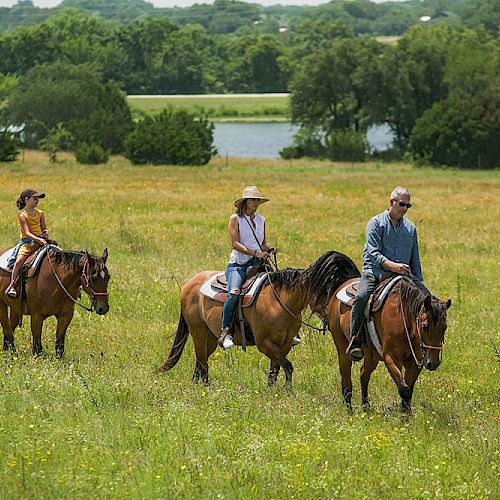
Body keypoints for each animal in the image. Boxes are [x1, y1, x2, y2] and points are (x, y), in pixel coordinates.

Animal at [160, 250, 360, 386]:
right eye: (329, 287)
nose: (338, 312)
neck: (280, 300)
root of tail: (189, 284)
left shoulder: (284, 344)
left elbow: (276, 369)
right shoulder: (265, 343)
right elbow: (287, 366)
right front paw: (288, 391)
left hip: (209, 336)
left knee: (200, 365)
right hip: (198, 332)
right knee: (201, 362)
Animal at [328, 276, 450, 412]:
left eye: (444, 328)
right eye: (424, 326)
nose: (433, 363)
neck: (403, 317)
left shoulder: (415, 362)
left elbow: (409, 390)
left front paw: (407, 416)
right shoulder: (391, 358)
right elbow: (404, 389)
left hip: (371, 356)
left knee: (364, 375)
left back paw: (366, 408)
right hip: (342, 347)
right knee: (346, 383)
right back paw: (350, 412)